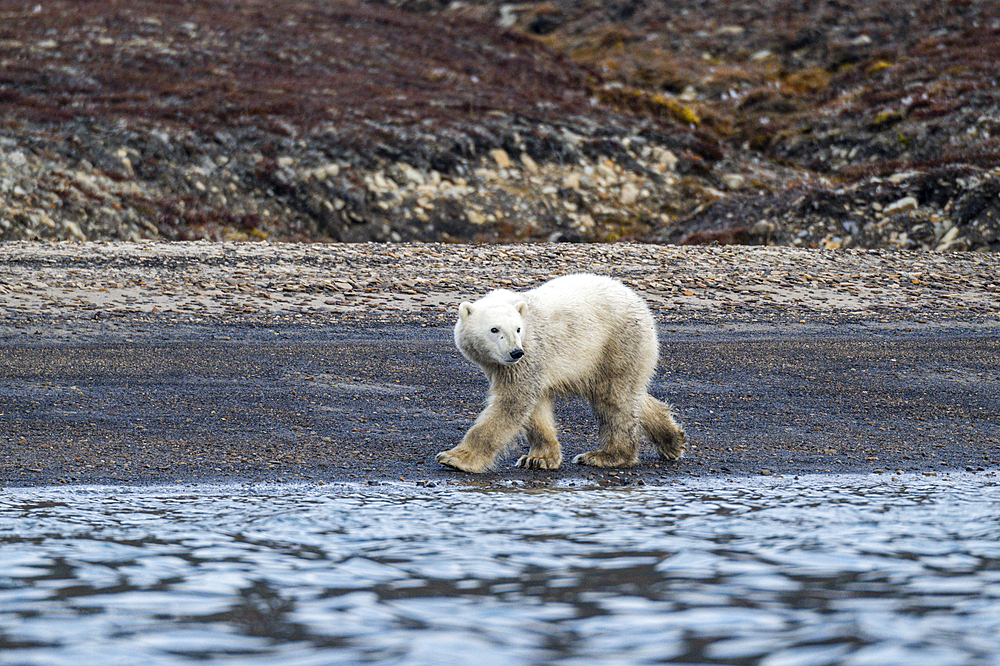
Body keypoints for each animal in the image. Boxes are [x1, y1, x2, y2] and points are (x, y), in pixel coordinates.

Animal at [438, 272, 688, 470]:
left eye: (518, 329)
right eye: (494, 329)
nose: (515, 352)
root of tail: (640, 303)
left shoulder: (530, 355)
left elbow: (511, 404)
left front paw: (455, 458)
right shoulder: (526, 365)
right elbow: (535, 409)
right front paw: (538, 458)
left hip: (618, 342)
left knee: (614, 398)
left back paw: (606, 455)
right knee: (631, 394)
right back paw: (673, 441)